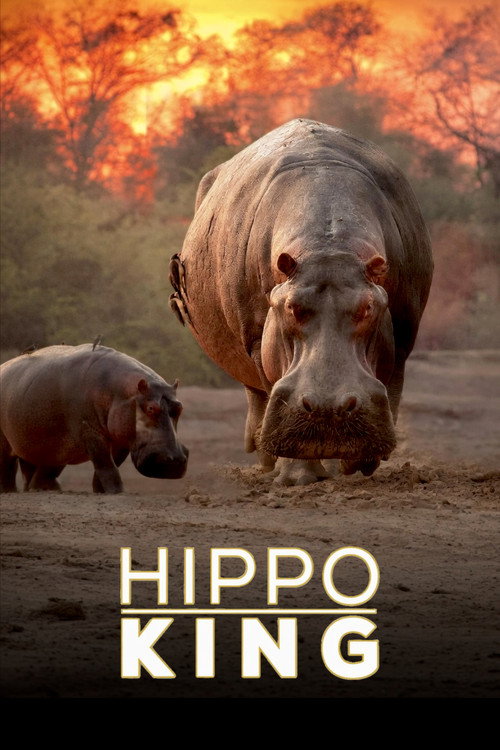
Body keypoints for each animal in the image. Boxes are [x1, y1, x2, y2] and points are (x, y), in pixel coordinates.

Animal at [0, 344, 188, 493]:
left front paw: (100, 490)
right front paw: (117, 491)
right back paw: (10, 491)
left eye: (180, 407)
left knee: (37, 471)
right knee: (8, 469)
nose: (176, 460)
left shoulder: (121, 439)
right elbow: (105, 464)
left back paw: (44, 489)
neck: (122, 391)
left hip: (45, 446)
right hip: (9, 443)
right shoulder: (90, 431)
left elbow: (111, 465)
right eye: (151, 408)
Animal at [170, 119, 433, 485]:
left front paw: (359, 462)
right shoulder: (258, 337)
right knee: (257, 396)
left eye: (369, 307)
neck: (327, 246)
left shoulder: (403, 336)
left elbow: (389, 390)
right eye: (290, 307)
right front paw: (297, 477)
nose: (327, 408)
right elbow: (271, 384)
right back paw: (268, 460)